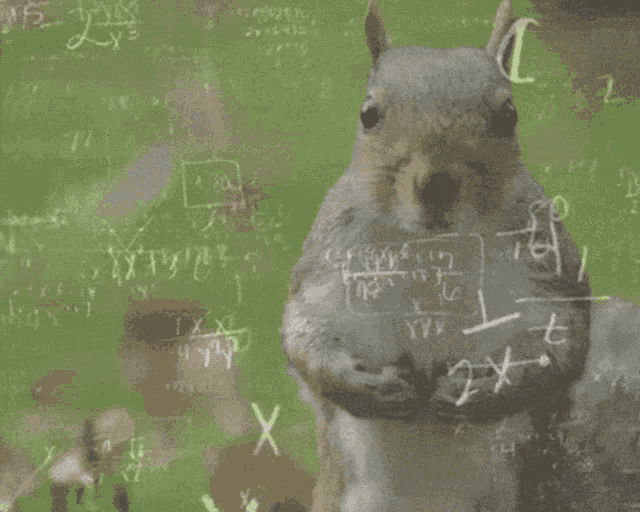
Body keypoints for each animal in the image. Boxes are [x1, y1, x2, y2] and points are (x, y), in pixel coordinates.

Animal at [281, 1, 593, 511]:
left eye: (509, 115)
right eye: (368, 114)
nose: (436, 184)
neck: (433, 251)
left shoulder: (547, 274)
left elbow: (560, 348)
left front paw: (480, 390)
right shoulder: (326, 268)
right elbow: (306, 336)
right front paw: (367, 387)